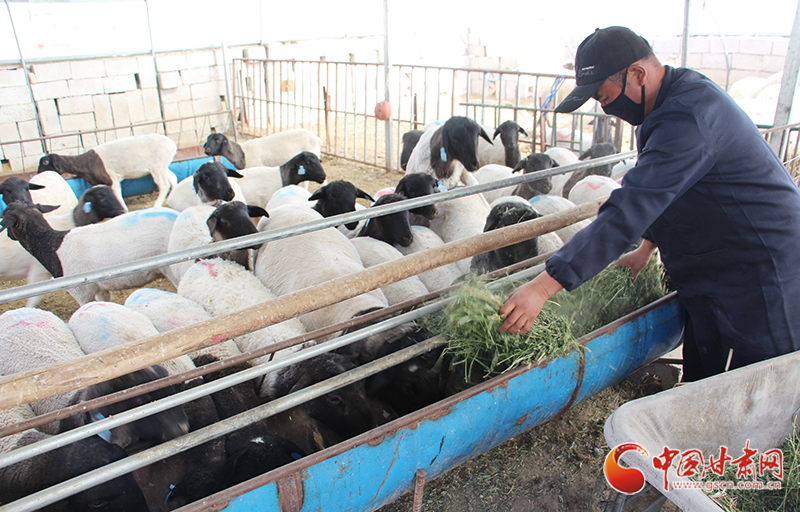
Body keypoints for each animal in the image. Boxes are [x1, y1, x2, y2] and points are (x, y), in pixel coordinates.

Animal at [37, 134, 178, 212]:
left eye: (45, 162)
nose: (37, 174)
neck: (85, 163)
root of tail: (172, 144)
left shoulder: (112, 178)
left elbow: (116, 193)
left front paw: (123, 209)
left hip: (157, 166)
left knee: (164, 185)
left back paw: (157, 204)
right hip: (162, 166)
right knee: (173, 178)